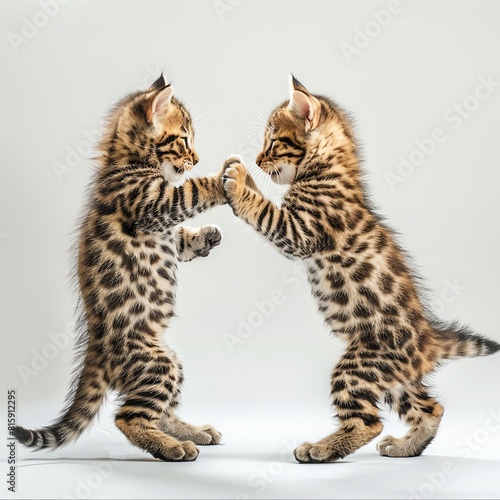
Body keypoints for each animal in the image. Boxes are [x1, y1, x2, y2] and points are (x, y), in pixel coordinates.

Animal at [13, 74, 226, 460]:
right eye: (184, 138)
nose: (197, 158)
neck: (126, 162)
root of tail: (95, 350)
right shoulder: (152, 204)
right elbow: (190, 190)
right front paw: (223, 179)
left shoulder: (166, 229)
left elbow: (183, 240)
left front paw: (207, 235)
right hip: (156, 363)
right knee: (128, 418)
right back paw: (173, 448)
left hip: (169, 361)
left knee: (159, 412)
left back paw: (192, 432)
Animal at [223, 76, 500, 462]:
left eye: (274, 142)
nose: (258, 159)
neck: (330, 171)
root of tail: (430, 339)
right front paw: (241, 172)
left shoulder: (299, 231)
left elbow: (264, 209)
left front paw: (238, 179)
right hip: (395, 378)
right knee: (431, 409)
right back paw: (406, 447)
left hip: (360, 367)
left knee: (369, 423)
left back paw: (321, 449)